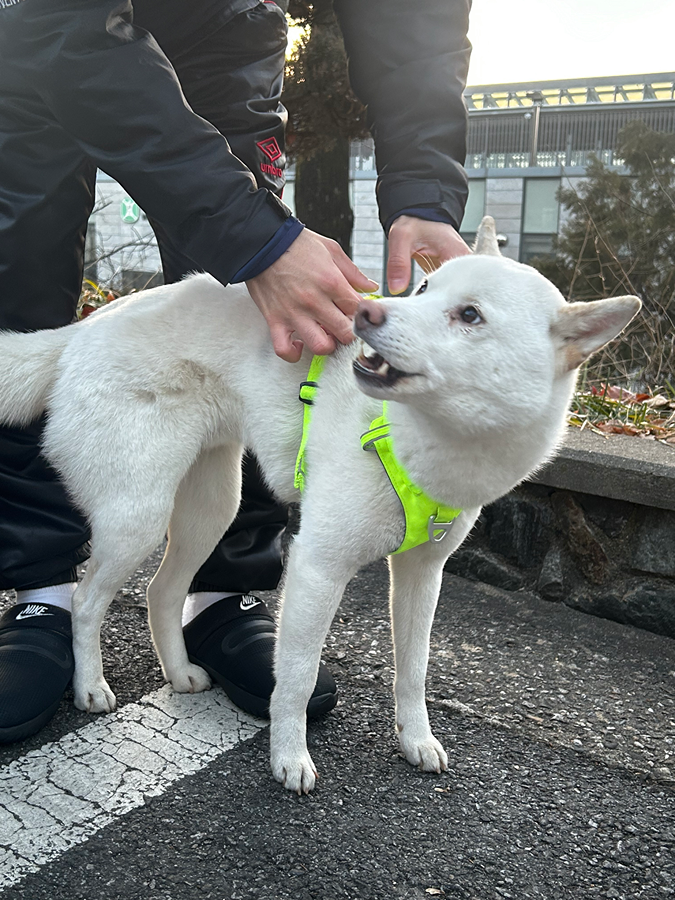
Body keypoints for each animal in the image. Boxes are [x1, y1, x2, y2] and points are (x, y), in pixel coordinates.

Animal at [0, 220, 640, 796]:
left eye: (470, 315)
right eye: (424, 289)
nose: (366, 317)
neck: (427, 442)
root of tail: (84, 327)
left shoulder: (421, 575)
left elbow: (413, 671)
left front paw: (416, 740)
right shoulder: (318, 566)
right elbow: (298, 677)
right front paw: (288, 756)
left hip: (212, 508)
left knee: (162, 591)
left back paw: (178, 672)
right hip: (139, 513)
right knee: (87, 600)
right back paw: (89, 685)